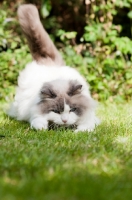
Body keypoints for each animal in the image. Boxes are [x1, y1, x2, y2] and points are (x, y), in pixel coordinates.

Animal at [7, 3, 99, 132]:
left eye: (72, 110)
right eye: (56, 111)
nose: (64, 120)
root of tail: (48, 62)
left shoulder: (90, 117)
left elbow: (86, 126)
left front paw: (78, 132)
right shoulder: (35, 113)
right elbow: (38, 122)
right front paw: (42, 128)